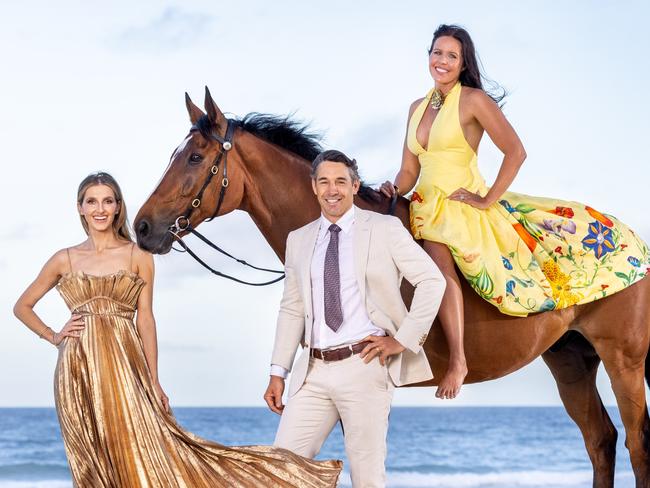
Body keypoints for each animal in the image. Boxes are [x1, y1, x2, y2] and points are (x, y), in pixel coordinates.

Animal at [133, 87, 648, 488]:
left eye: (195, 157)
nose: (141, 227)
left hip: (622, 359)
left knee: (636, 442)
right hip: (570, 359)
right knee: (600, 439)